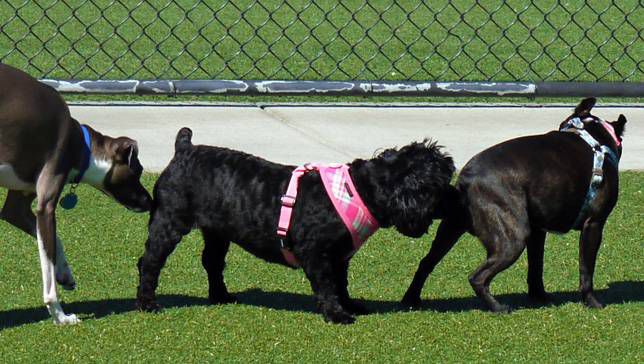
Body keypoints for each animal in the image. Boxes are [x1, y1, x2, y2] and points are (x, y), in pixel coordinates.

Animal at [0, 64, 152, 326]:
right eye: (138, 170)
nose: (150, 202)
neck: (82, 145)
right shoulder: (47, 204)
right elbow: (48, 270)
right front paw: (60, 315)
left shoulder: (17, 208)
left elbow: (53, 242)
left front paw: (65, 274)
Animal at [138, 128, 456, 324]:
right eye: (441, 185)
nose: (457, 196)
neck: (360, 190)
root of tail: (183, 149)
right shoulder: (316, 252)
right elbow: (327, 285)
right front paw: (336, 314)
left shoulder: (340, 256)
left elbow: (341, 283)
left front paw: (349, 304)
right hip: (169, 219)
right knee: (150, 262)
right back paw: (147, 303)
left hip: (217, 230)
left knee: (212, 262)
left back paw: (220, 296)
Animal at [400, 97, 628, 312]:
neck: (592, 136)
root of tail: (466, 181)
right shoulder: (594, 224)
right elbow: (586, 270)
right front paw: (592, 303)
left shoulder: (537, 232)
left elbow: (536, 267)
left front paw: (539, 297)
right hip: (512, 239)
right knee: (477, 277)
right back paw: (498, 308)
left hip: (451, 228)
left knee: (426, 262)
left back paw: (411, 300)